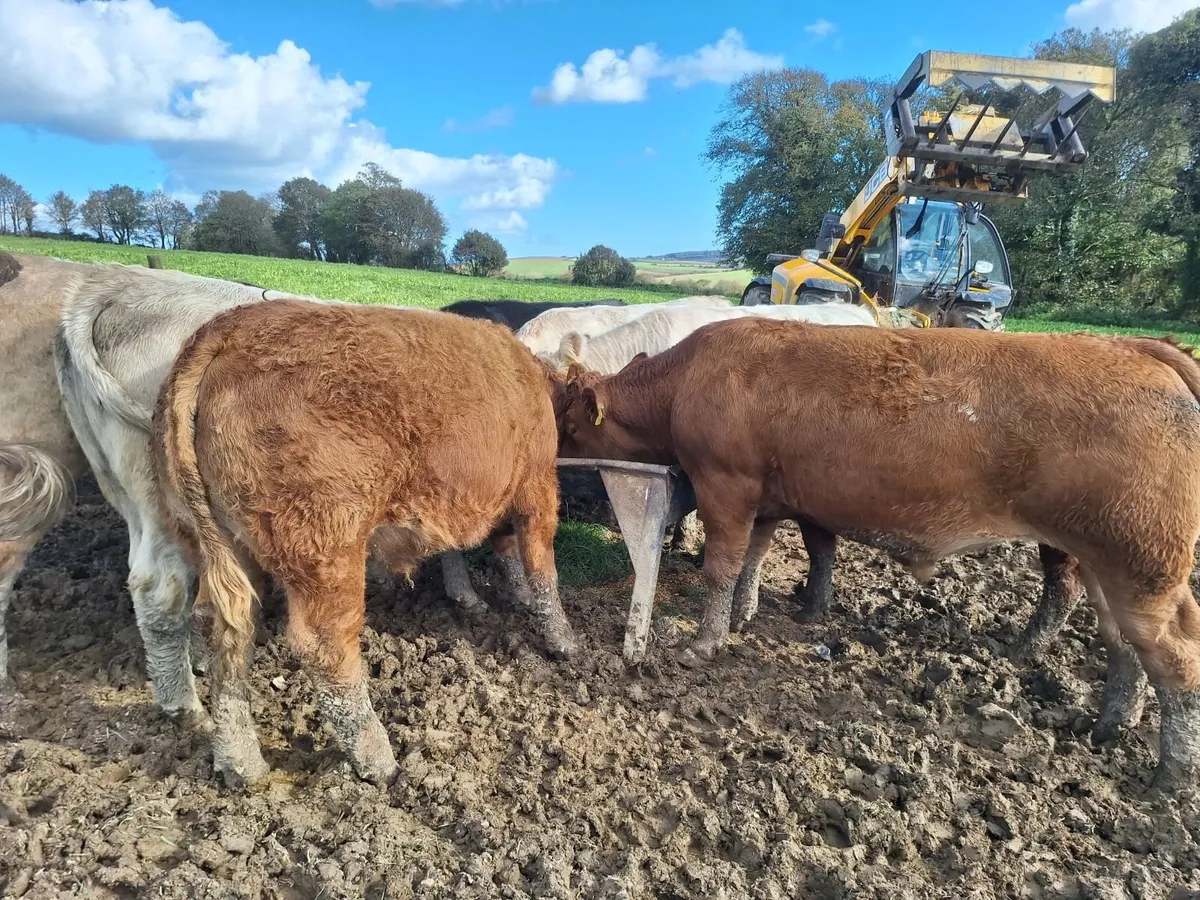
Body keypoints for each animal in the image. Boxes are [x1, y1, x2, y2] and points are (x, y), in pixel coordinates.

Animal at [151, 298, 575, 787]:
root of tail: (227, 329)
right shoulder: (537, 485)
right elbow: (541, 565)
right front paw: (563, 639)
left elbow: (476, 550)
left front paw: (476, 597)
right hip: (325, 545)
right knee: (326, 649)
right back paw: (378, 759)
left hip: (223, 542)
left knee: (224, 630)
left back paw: (240, 763)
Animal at [552, 316, 1200, 791]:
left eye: (570, 424)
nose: (549, 453)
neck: (690, 378)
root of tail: (1137, 351)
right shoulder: (766, 498)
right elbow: (754, 560)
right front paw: (744, 615)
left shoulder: (725, 485)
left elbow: (722, 566)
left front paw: (704, 641)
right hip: (1106, 564)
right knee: (1123, 646)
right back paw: (1109, 725)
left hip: (1142, 564)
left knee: (1175, 657)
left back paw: (1169, 774)